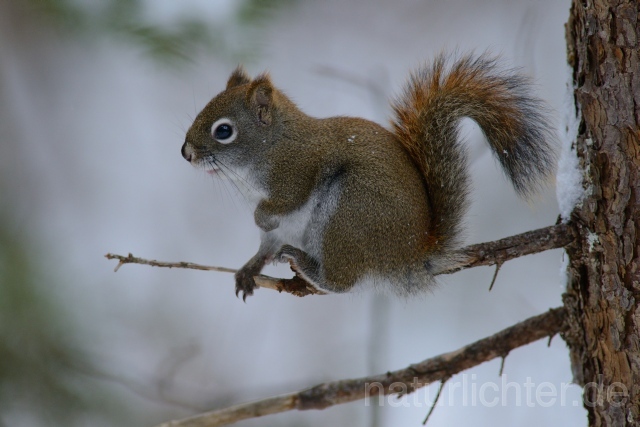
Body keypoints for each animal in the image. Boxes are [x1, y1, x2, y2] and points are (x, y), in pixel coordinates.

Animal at [182, 52, 556, 300]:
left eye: (224, 131)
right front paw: (249, 269)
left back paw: (308, 267)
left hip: (349, 210)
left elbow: (286, 201)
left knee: (343, 282)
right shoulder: (276, 227)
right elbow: (264, 245)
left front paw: (261, 216)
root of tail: (411, 255)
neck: (270, 147)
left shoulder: (297, 171)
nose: (185, 153)